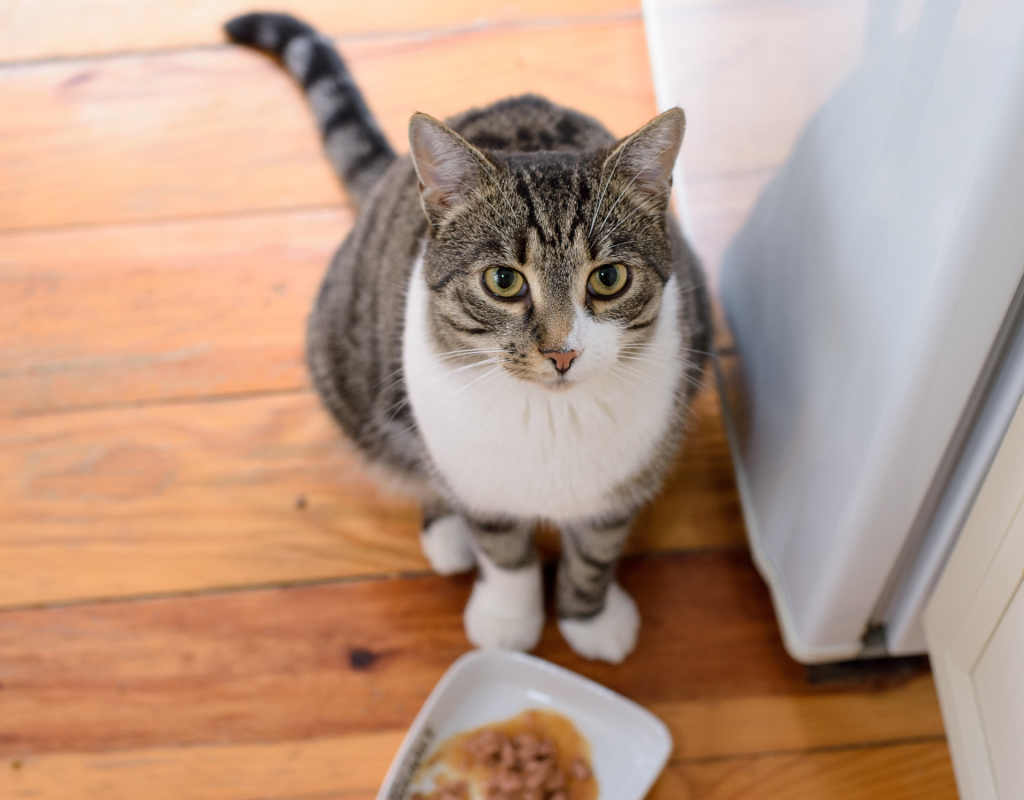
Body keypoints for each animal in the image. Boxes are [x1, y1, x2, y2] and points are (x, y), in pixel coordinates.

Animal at [225, 12, 712, 659]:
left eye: (608, 278)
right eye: (504, 281)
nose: (562, 352)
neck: (550, 418)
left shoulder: (625, 480)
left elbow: (596, 550)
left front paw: (589, 620)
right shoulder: (479, 482)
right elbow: (503, 553)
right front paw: (509, 622)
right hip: (348, 365)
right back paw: (447, 534)